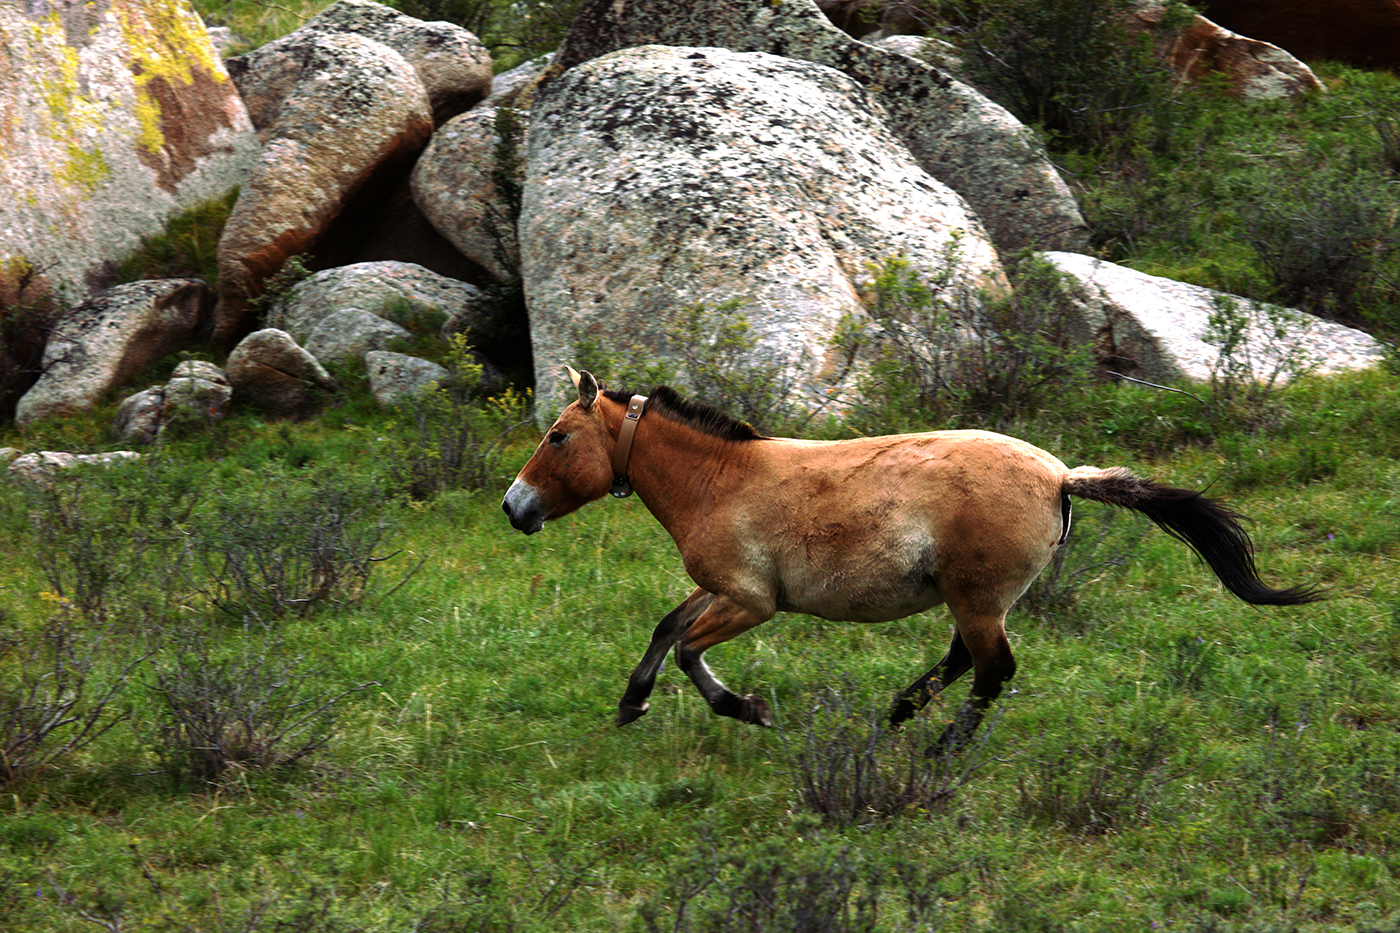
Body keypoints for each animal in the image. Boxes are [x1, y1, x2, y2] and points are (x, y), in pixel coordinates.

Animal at [504, 367, 1321, 745]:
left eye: (557, 437)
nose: (514, 507)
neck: (721, 481)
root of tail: (1061, 476)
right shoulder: (721, 589)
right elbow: (667, 627)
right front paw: (631, 701)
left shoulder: (751, 600)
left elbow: (687, 650)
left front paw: (746, 708)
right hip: (974, 598)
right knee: (965, 662)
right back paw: (899, 712)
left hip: (978, 597)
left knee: (991, 671)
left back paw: (940, 748)